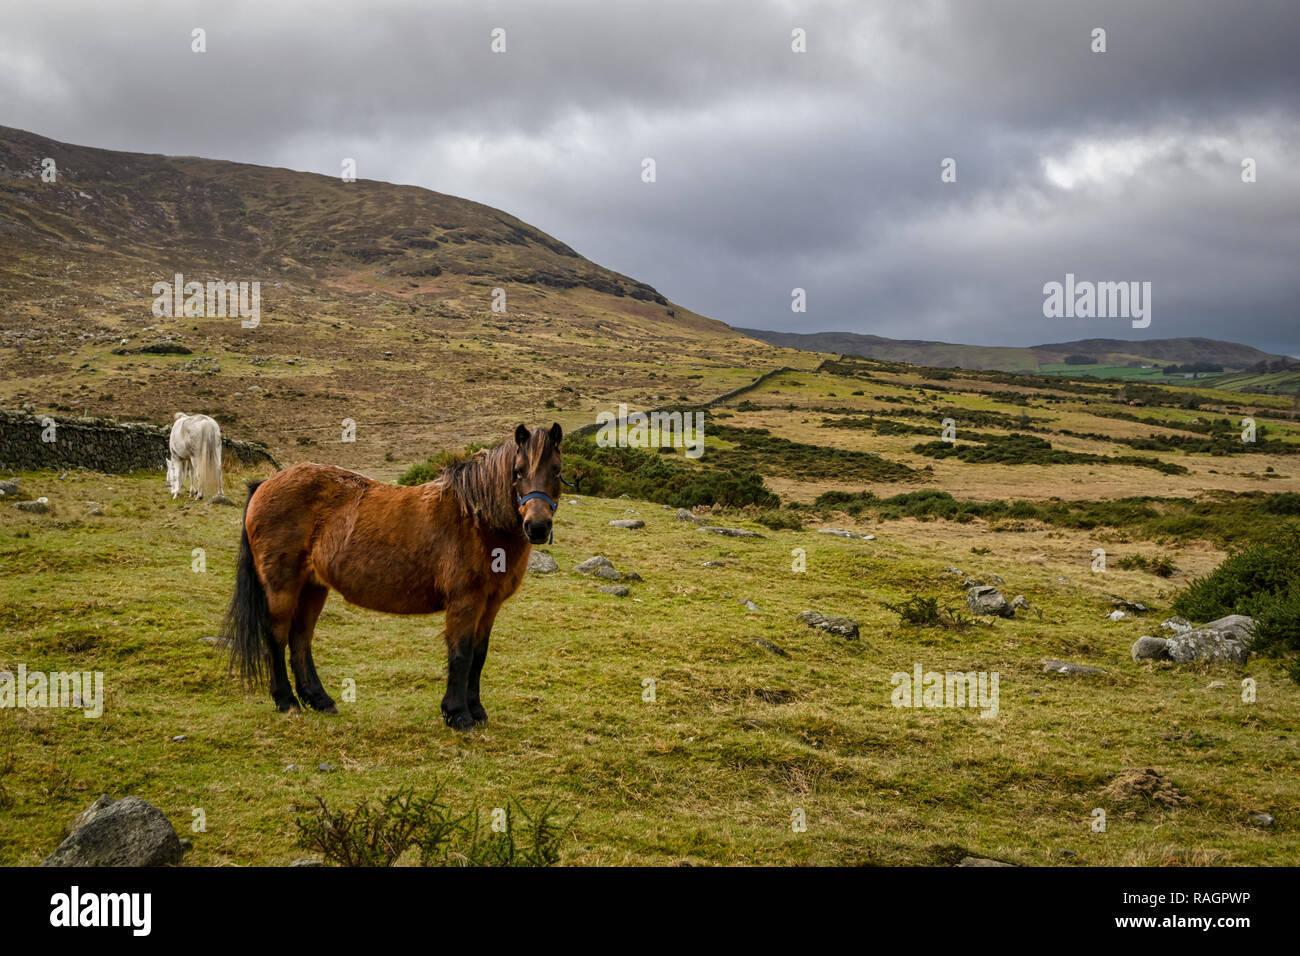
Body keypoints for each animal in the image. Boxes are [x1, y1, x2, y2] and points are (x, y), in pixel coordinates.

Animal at [222, 422, 563, 731]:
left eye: (557, 470)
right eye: (517, 470)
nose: (537, 527)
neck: (477, 520)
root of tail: (264, 485)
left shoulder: (490, 604)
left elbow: (479, 654)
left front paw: (476, 711)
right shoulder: (464, 602)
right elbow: (461, 654)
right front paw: (458, 715)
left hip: (312, 587)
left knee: (300, 638)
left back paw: (320, 700)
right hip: (282, 587)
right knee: (277, 637)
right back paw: (287, 701)